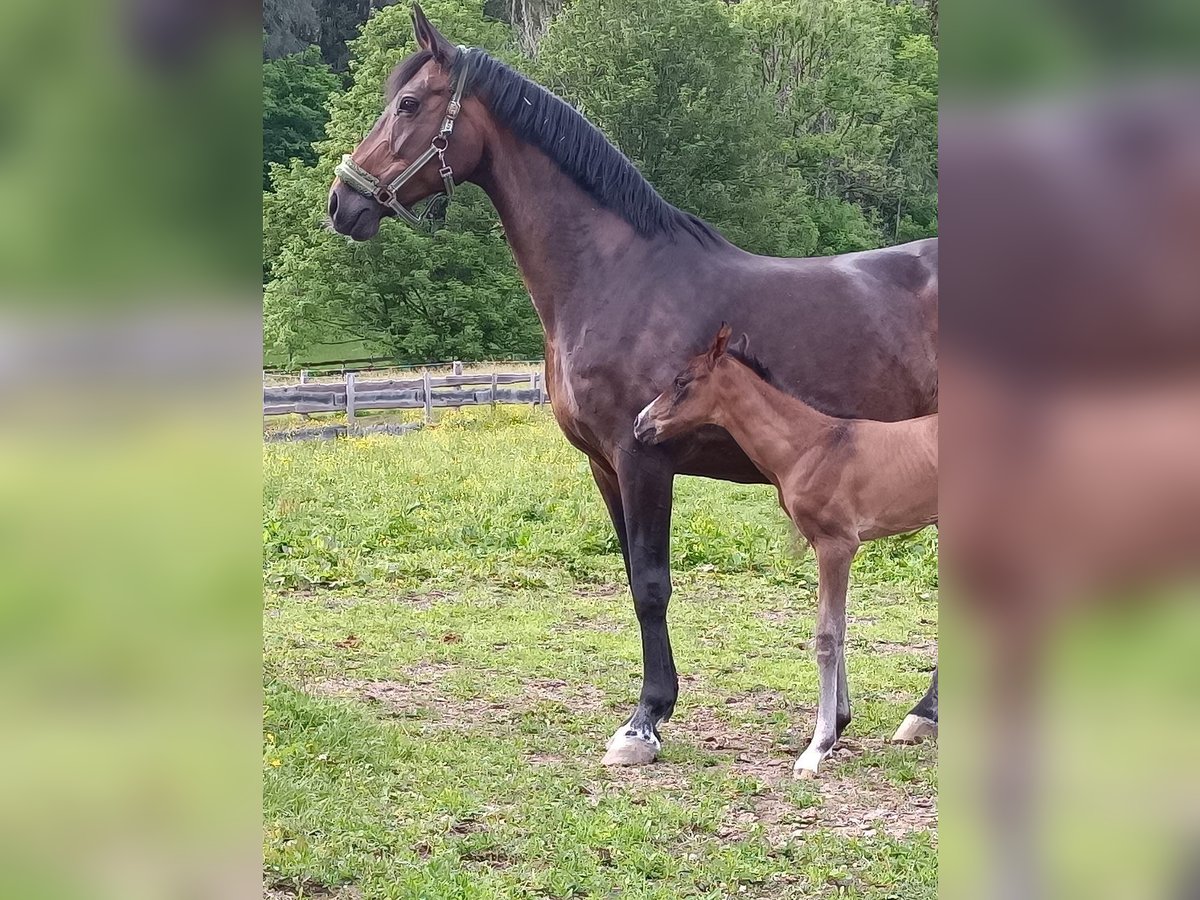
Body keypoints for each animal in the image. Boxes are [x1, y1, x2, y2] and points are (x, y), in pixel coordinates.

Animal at [638, 326, 936, 782]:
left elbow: (827, 636)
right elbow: (840, 628)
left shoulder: (837, 544)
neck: (811, 445)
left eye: (681, 381)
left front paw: (818, 747)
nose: (640, 423)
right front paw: (838, 724)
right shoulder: (826, 546)